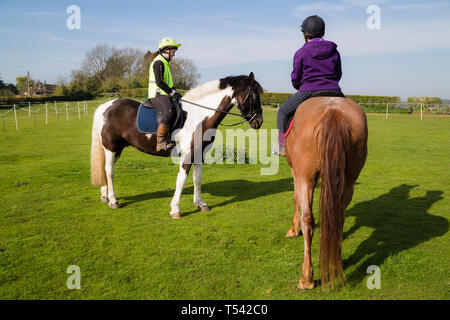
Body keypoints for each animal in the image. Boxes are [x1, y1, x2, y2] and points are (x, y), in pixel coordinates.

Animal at [90, 72, 264, 218]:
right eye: (254, 96)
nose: (259, 121)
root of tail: (104, 107)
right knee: (109, 171)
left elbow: (197, 179)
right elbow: (181, 180)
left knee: (105, 169)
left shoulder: (199, 154)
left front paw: (200, 204)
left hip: (117, 149)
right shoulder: (187, 155)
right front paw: (175, 209)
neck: (199, 116)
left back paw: (105, 195)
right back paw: (113, 200)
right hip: (111, 148)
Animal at [286, 96, 368, 288]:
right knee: (338, 218)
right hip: (348, 180)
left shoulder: (296, 172)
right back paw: (334, 264)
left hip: (305, 176)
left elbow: (295, 199)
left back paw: (306, 278)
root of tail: (333, 110)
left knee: (308, 220)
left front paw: (293, 230)